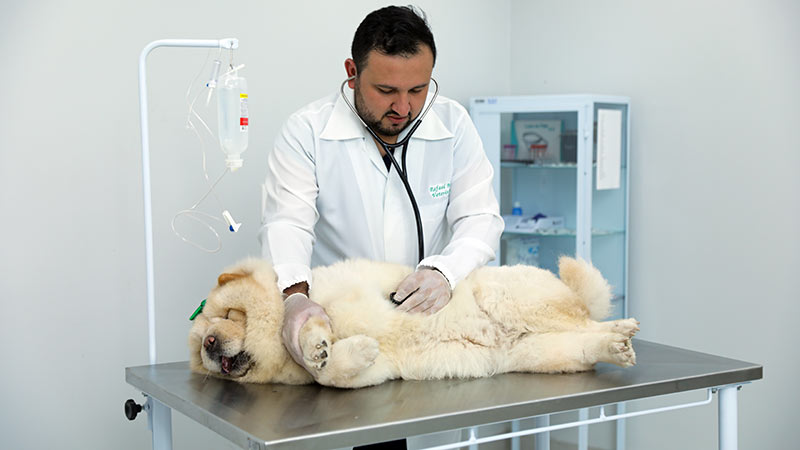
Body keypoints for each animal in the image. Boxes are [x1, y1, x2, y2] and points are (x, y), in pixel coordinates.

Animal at [188, 255, 636, 388]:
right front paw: (350, 350)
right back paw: (616, 345)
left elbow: (321, 318)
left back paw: (623, 329)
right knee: (583, 342)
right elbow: (332, 375)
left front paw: (317, 341)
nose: (209, 342)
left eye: (227, 315)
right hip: (538, 353)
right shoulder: (370, 375)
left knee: (587, 322)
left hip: (517, 302)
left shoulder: (351, 294)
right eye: (199, 345)